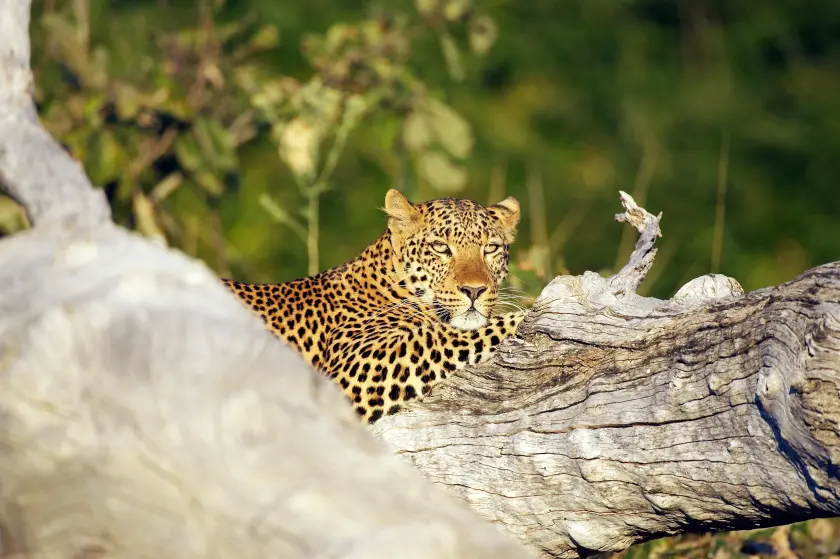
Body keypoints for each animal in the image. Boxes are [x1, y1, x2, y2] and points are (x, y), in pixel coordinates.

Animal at [221, 189, 524, 424]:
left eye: (491, 248)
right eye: (440, 247)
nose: (474, 290)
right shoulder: (354, 369)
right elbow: (440, 336)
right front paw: (520, 318)